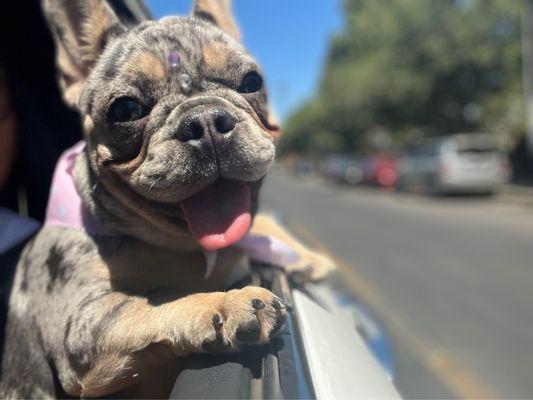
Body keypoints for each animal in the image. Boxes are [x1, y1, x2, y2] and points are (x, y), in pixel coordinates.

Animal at [0, 0, 332, 396]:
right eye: (125, 110)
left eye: (252, 82)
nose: (205, 120)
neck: (186, 246)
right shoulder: (82, 322)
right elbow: (155, 300)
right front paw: (227, 303)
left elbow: (256, 226)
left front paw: (305, 255)